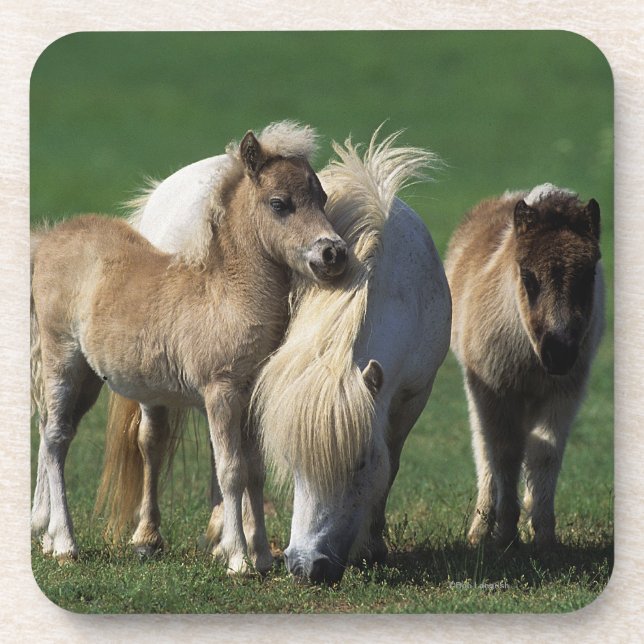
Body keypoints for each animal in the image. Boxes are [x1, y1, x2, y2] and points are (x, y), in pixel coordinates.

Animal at [30, 122, 347, 575]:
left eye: (321, 198)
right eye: (279, 204)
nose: (333, 253)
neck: (227, 296)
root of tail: (48, 240)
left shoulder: (251, 398)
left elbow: (255, 471)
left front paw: (263, 557)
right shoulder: (221, 393)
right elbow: (231, 471)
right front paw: (238, 559)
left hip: (89, 379)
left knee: (54, 431)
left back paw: (47, 535)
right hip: (62, 359)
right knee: (56, 438)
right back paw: (65, 544)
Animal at [109, 128, 452, 583]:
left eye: (361, 464)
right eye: (295, 463)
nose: (308, 566)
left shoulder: (414, 394)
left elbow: (390, 464)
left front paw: (372, 544)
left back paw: (222, 533)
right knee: (152, 440)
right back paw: (148, 537)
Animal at [444, 183, 604, 549]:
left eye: (589, 275)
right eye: (528, 277)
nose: (559, 353)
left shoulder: (564, 392)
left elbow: (545, 452)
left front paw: (544, 534)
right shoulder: (496, 389)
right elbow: (505, 453)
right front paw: (505, 533)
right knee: (484, 447)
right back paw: (480, 529)